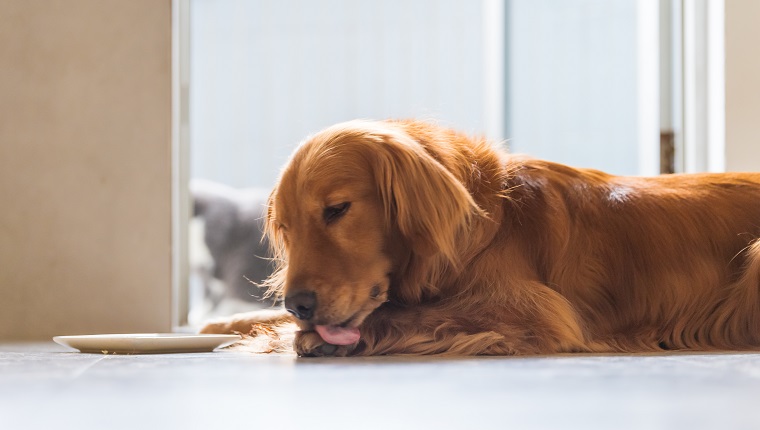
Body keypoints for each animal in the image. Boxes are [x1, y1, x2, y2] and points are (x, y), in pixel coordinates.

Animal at [200, 118, 760, 356]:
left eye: (337, 210)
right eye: (286, 228)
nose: (299, 304)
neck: (484, 228)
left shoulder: (536, 309)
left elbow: (416, 314)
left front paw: (311, 338)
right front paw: (226, 324)